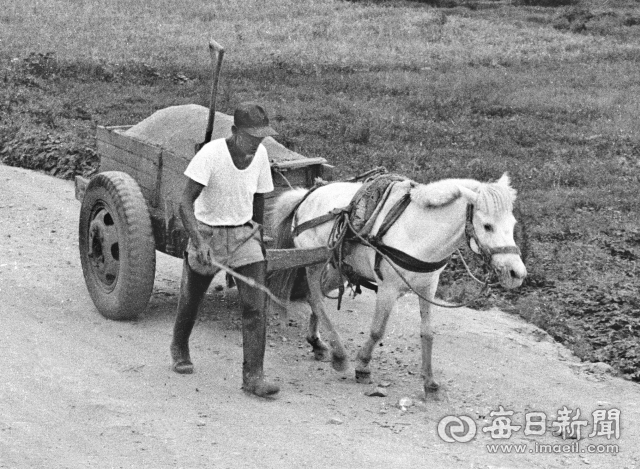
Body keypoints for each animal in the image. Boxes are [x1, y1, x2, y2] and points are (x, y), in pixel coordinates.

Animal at [268, 170, 524, 394]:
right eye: (487, 226)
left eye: (513, 224)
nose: (517, 273)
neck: (419, 231)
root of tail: (306, 196)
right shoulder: (388, 288)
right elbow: (377, 330)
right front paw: (363, 365)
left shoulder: (428, 288)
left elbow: (427, 332)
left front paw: (430, 383)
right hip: (314, 263)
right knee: (316, 298)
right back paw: (339, 355)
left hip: (336, 268)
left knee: (317, 296)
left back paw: (318, 343)